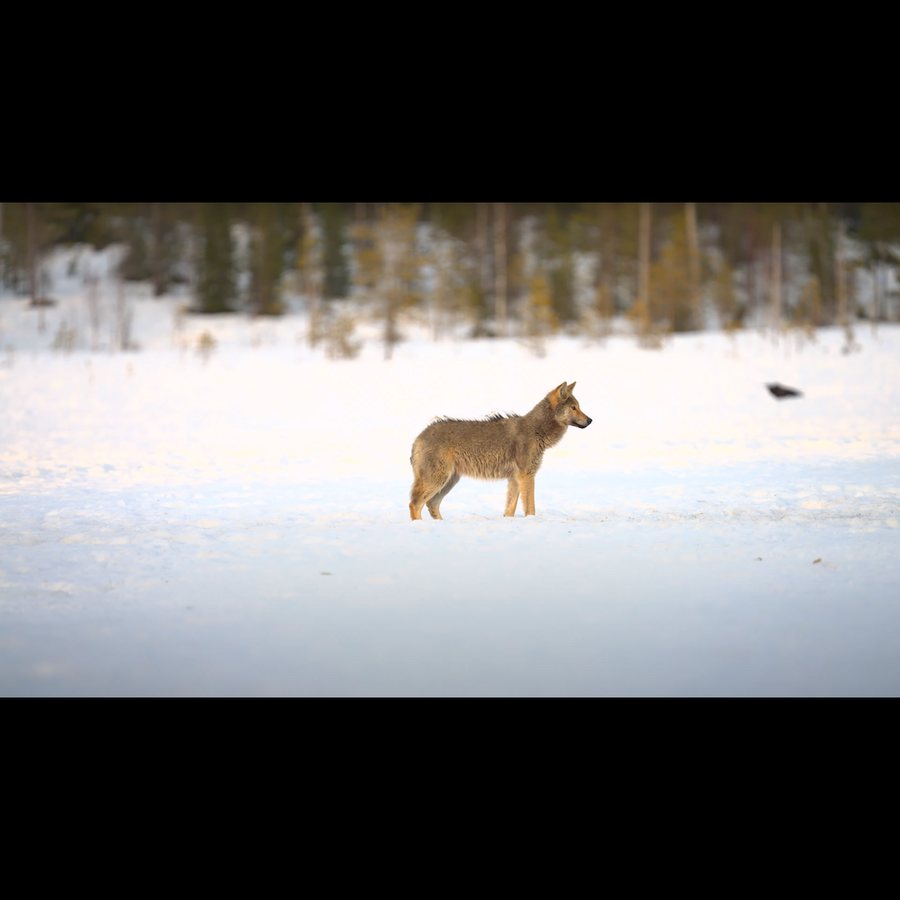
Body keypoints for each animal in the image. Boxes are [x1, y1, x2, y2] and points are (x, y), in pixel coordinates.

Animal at [409, 382, 591, 520]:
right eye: (574, 408)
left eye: (578, 406)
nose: (590, 420)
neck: (537, 430)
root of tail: (418, 436)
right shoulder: (526, 476)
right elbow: (530, 508)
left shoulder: (514, 479)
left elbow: (510, 509)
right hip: (438, 481)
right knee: (415, 504)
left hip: (449, 481)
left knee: (431, 505)